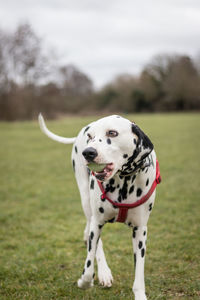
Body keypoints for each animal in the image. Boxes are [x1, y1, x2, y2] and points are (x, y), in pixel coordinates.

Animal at [38, 113, 161, 298]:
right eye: (90, 137)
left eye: (112, 133)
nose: (88, 152)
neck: (124, 182)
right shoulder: (97, 222)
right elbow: (89, 265)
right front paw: (85, 281)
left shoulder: (140, 230)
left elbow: (139, 272)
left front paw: (140, 295)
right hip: (86, 202)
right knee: (94, 236)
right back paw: (104, 273)